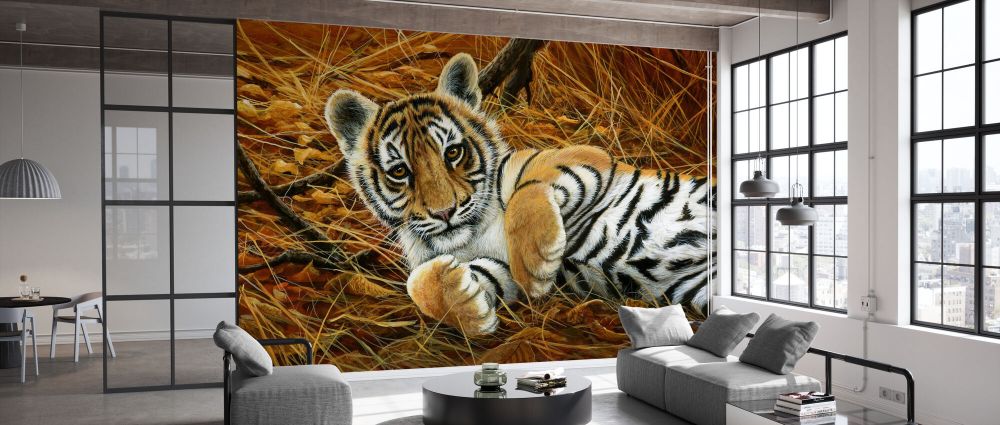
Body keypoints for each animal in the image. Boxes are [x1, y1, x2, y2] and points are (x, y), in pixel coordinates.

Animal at [324, 53, 715, 336]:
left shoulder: (584, 157)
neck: (475, 231)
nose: (445, 212)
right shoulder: (493, 266)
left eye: (453, 152)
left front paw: (535, 265)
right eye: (400, 172)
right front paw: (469, 310)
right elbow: (417, 283)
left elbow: (526, 193)